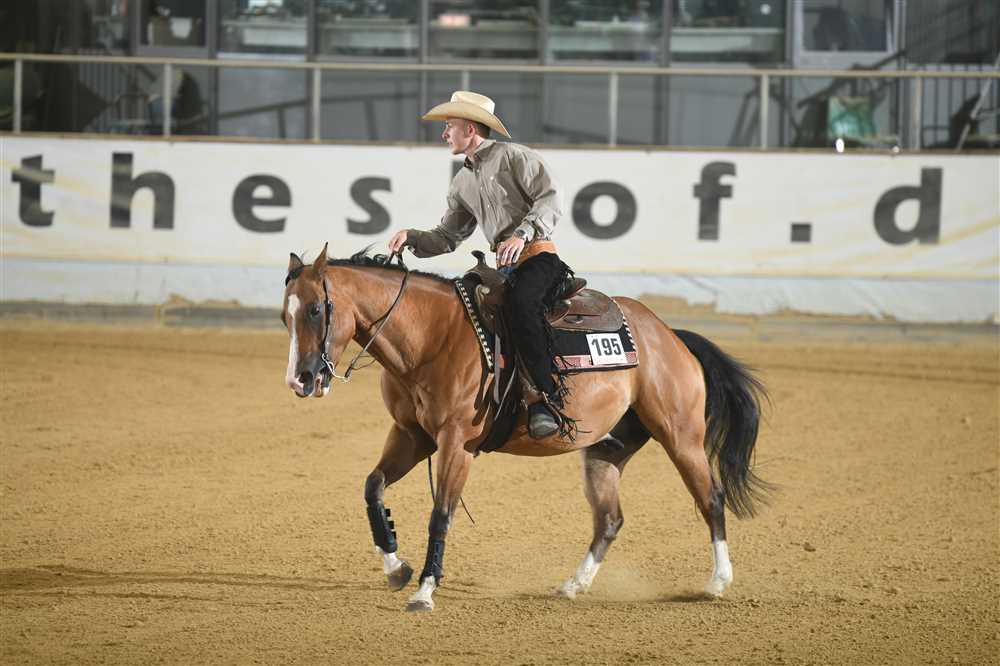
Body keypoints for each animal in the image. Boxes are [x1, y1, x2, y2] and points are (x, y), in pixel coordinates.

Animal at [281, 244, 769, 612]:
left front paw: (424, 591)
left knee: (711, 499)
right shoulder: (411, 435)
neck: (433, 336)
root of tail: (668, 335)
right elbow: (373, 487)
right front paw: (396, 568)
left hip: (681, 436)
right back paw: (574, 585)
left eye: (317, 309)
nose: (300, 380)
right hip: (607, 449)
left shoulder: (456, 443)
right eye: (286, 316)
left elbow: (441, 514)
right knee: (610, 519)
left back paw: (718, 581)